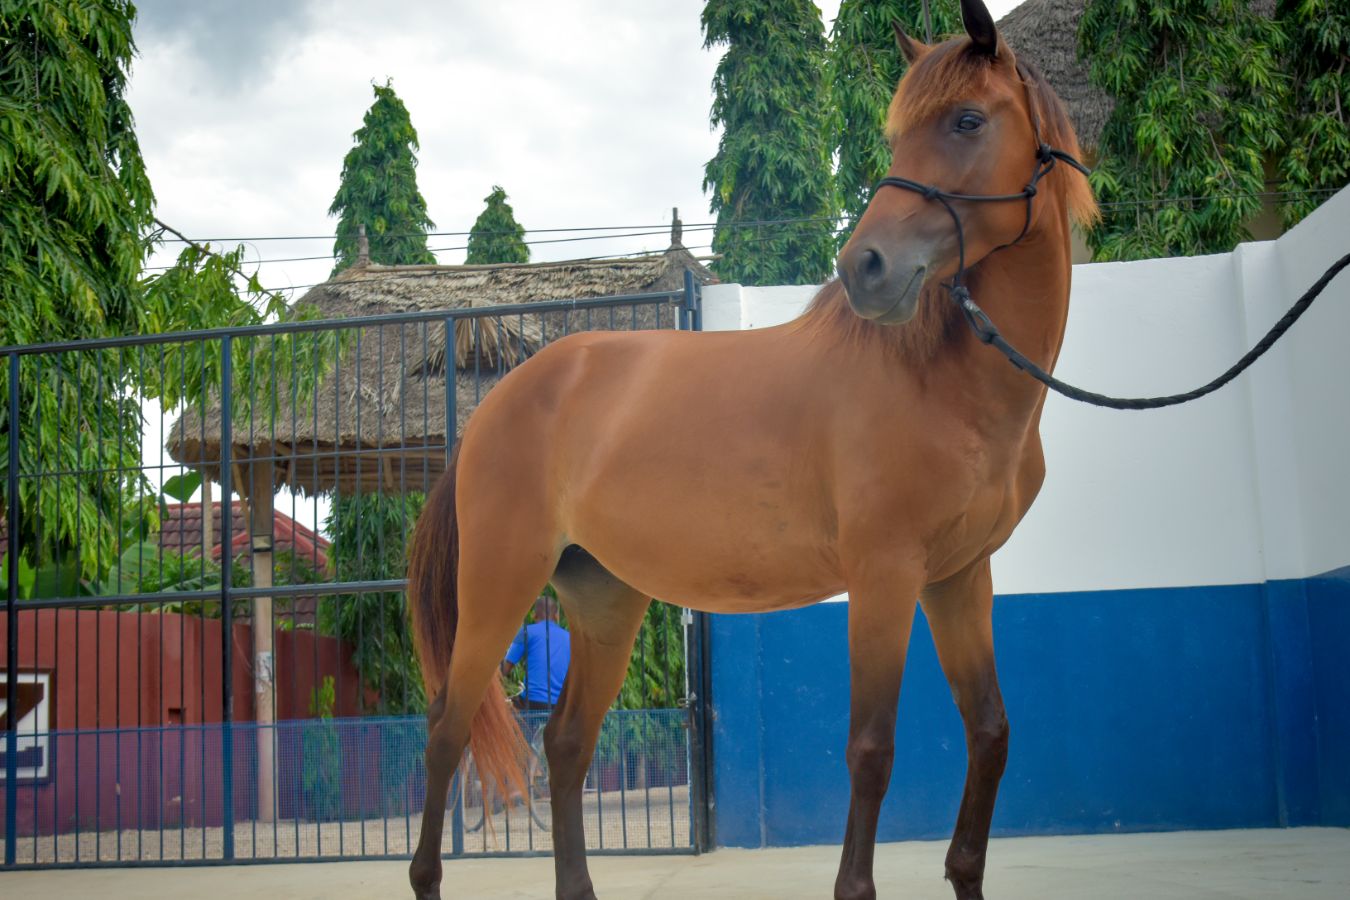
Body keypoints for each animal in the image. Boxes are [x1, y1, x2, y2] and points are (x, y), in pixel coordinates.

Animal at [406, 1, 1096, 897]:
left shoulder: (959, 578)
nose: (866, 268)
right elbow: (871, 750)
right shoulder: (885, 577)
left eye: (968, 120)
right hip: (498, 588)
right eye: (899, 131)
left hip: (604, 601)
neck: (940, 378)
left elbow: (990, 733)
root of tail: (500, 401)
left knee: (565, 744)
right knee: (446, 732)